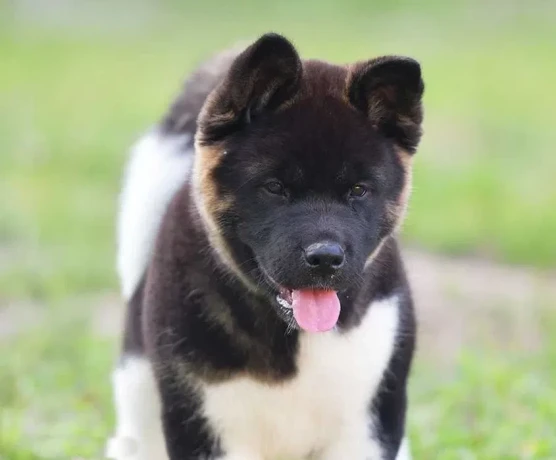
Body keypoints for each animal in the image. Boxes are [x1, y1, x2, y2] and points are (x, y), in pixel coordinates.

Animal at [106, 33, 424, 460]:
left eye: (359, 190)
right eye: (275, 187)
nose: (326, 258)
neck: (291, 342)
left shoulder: (369, 425)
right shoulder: (204, 427)